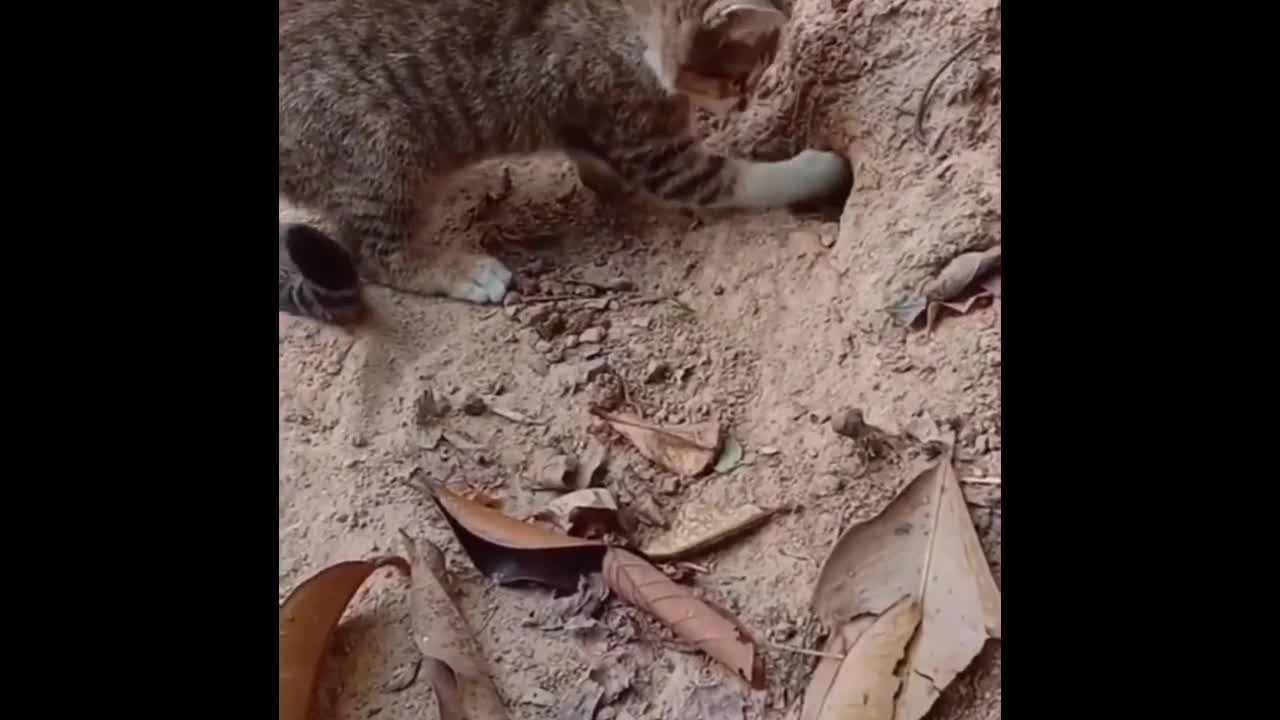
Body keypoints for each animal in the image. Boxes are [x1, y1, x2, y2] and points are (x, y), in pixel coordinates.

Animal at [285, 0, 855, 322]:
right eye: (741, 75)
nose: (745, 99)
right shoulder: (647, 139)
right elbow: (737, 179)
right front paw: (822, 168)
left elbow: (591, 155)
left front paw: (603, 181)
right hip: (381, 147)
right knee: (374, 252)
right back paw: (456, 269)